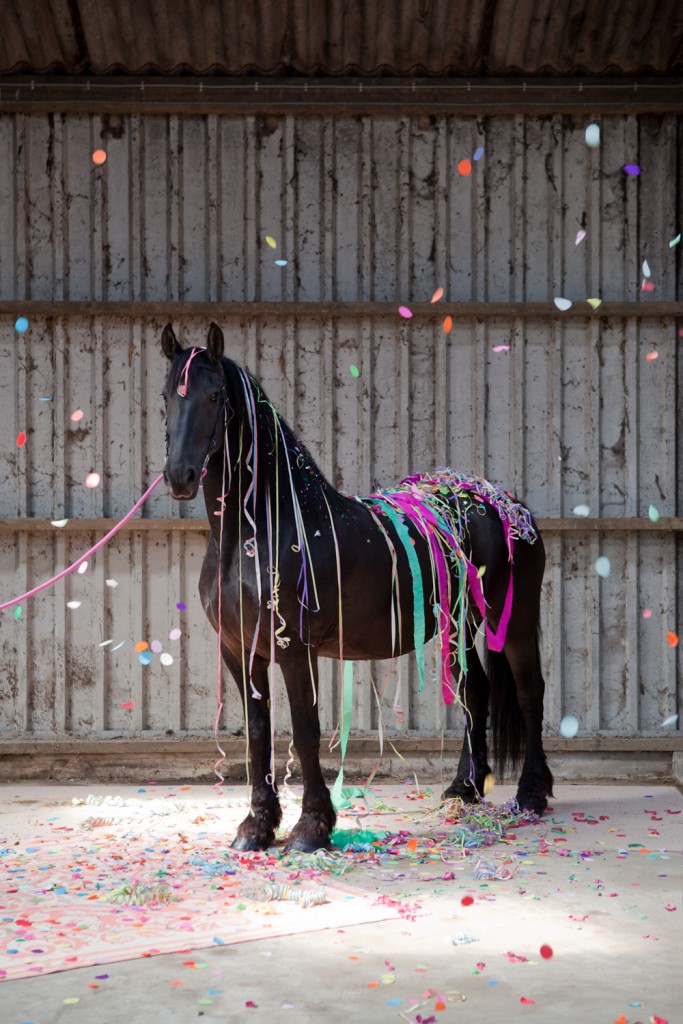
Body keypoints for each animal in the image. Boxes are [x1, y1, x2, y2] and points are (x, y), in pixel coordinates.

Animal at [161, 323, 557, 851]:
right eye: (166, 396)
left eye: (213, 395)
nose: (179, 477)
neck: (263, 527)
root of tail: (506, 502)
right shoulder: (240, 650)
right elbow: (258, 732)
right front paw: (258, 825)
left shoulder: (295, 649)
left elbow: (305, 729)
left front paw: (311, 827)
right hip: (457, 625)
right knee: (475, 691)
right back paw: (463, 789)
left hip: (511, 620)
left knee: (530, 691)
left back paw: (532, 793)